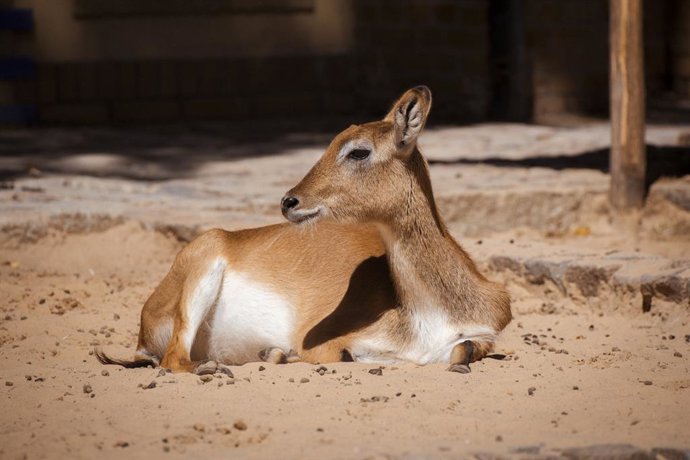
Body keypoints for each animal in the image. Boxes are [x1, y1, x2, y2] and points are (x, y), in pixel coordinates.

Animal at [96, 86, 511, 375]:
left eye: (358, 150)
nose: (289, 201)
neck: (430, 313)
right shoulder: (328, 343)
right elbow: (344, 356)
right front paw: (280, 353)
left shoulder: (479, 337)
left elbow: (461, 350)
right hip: (202, 268)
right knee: (173, 360)